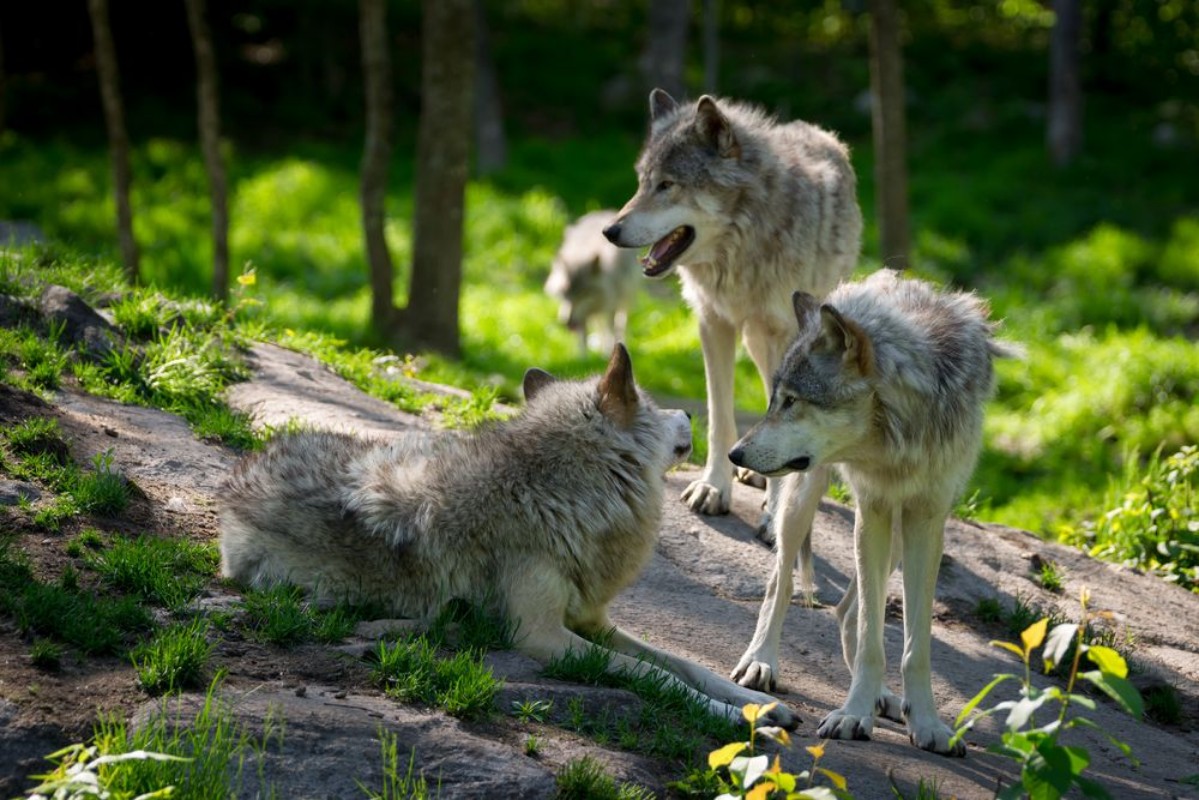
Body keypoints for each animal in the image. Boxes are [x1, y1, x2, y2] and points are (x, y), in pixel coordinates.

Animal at [219, 345, 797, 728]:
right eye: (652, 404)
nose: (690, 412)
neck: (554, 492)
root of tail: (242, 471)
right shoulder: (542, 636)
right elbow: (659, 677)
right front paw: (741, 720)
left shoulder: (594, 621)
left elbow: (689, 665)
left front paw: (762, 705)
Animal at [544, 210, 640, 355]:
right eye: (565, 293)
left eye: (583, 293)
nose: (567, 323)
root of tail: (604, 211)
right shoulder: (583, 315)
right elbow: (582, 339)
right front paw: (583, 357)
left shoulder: (610, 305)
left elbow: (611, 329)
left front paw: (608, 351)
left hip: (625, 299)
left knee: (620, 323)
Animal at [604, 89, 863, 547]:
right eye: (641, 182)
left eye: (667, 185)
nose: (610, 231)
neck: (742, 250)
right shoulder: (713, 323)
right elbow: (720, 416)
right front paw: (714, 487)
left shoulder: (782, 334)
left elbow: (782, 411)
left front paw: (774, 514)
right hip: (755, 342)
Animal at [726, 270, 1020, 755]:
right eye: (775, 400)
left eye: (793, 401)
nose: (735, 453)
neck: (899, 431)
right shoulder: (874, 507)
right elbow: (871, 637)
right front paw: (852, 715)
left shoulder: (926, 516)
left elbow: (914, 644)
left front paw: (927, 723)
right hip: (803, 501)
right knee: (781, 583)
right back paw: (761, 662)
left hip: (898, 536)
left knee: (847, 611)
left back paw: (886, 698)